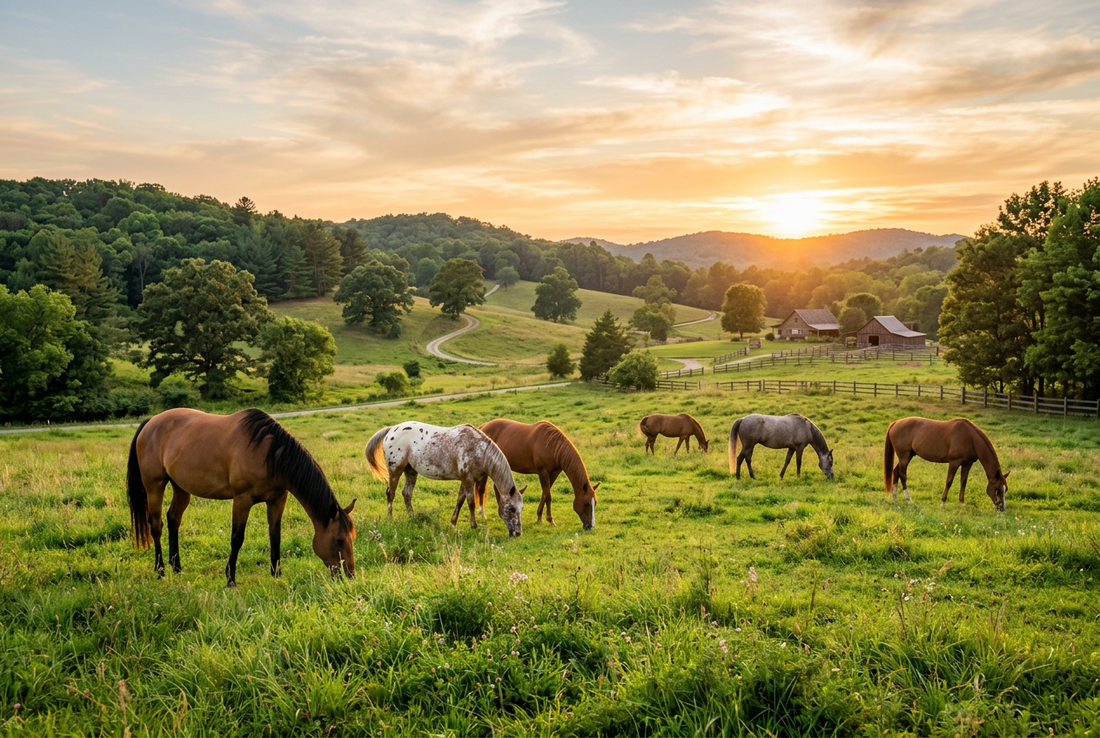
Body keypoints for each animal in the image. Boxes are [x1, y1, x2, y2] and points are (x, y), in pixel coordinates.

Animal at [126, 408, 356, 586]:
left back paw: (177, 568)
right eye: (338, 540)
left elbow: (275, 536)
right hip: (154, 485)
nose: (350, 576)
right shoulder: (242, 500)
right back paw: (161, 571)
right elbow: (237, 538)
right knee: (156, 525)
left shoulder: (277, 499)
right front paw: (230, 579)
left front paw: (276, 574)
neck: (269, 455)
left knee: (173, 519)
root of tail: (150, 422)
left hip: (181, 487)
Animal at [365, 422, 525, 536]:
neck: (479, 450)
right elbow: (471, 503)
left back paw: (412, 518)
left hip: (411, 471)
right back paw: (390, 519)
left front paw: (453, 522)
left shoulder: (465, 480)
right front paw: (473, 526)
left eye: (521, 508)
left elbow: (460, 500)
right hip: (395, 470)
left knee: (407, 493)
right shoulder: (468, 480)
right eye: (511, 508)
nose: (517, 533)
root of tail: (391, 430)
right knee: (390, 493)